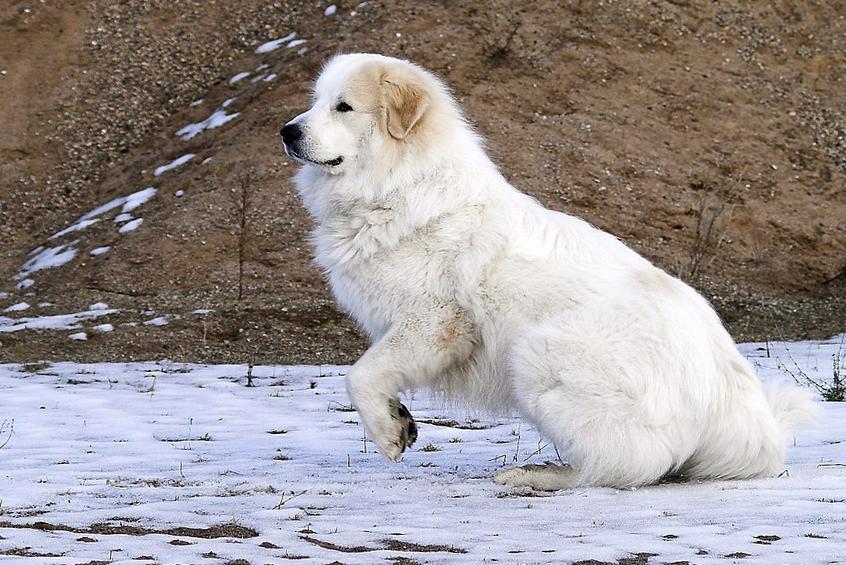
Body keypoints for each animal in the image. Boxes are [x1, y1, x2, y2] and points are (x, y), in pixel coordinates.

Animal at [282, 53, 820, 490]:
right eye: (315, 101)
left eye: (344, 107)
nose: (288, 131)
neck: (399, 186)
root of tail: (737, 410)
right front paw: (400, 419)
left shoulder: (434, 323)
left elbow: (360, 374)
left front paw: (388, 431)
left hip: (535, 353)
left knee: (628, 466)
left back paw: (538, 476)